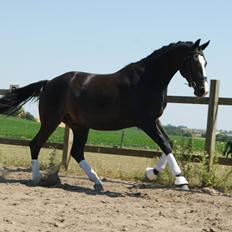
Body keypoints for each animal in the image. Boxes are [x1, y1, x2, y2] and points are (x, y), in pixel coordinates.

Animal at [0, 39, 210, 190]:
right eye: (194, 61)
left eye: (205, 62)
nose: (202, 90)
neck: (147, 80)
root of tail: (49, 82)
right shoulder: (146, 121)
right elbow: (165, 144)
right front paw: (181, 181)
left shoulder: (155, 120)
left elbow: (168, 144)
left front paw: (151, 173)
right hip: (51, 121)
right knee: (35, 143)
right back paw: (36, 178)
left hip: (79, 125)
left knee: (76, 151)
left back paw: (97, 182)